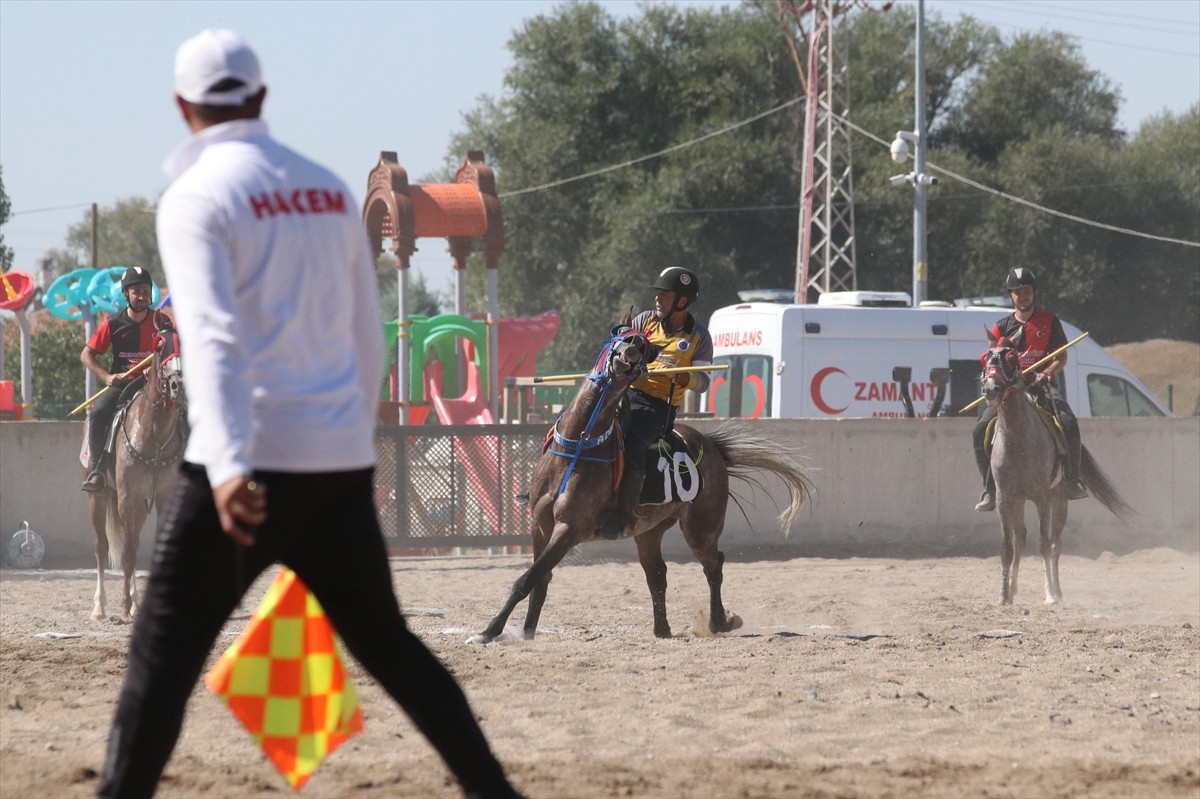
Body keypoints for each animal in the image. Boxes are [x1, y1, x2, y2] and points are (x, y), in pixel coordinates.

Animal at [979, 333, 1128, 599]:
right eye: (985, 357)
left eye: (1011, 357)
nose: (991, 389)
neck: (1018, 438)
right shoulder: (1004, 498)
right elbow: (1008, 547)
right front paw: (1004, 595)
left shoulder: (1042, 497)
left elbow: (1044, 545)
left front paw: (1050, 594)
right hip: (1019, 500)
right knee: (1021, 538)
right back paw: (1014, 588)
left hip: (1059, 499)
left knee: (1054, 543)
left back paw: (1056, 590)